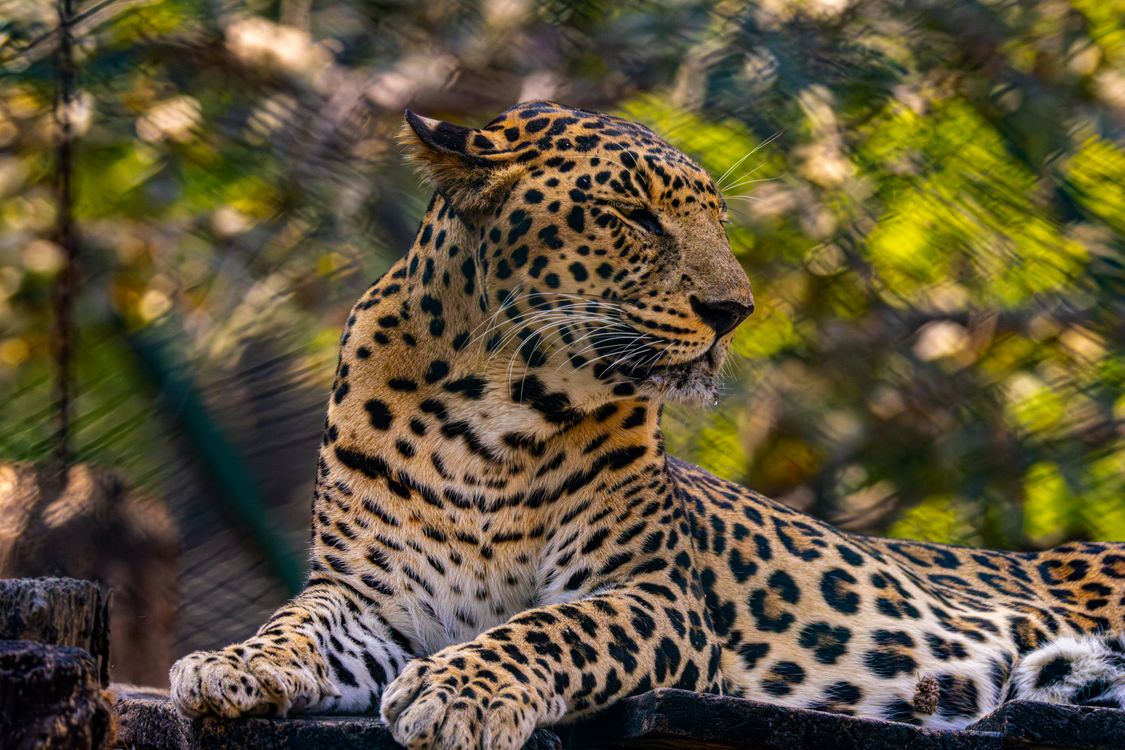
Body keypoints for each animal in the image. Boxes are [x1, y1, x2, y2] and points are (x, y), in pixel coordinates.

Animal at [169, 101, 1125, 749]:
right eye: (633, 215)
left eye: (717, 221)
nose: (733, 311)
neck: (487, 407)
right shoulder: (367, 599)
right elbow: (294, 624)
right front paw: (230, 664)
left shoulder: (655, 594)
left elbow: (554, 627)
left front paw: (461, 692)